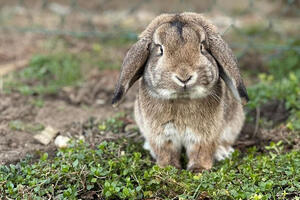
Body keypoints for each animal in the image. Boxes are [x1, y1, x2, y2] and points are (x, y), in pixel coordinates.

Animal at [112, 12, 248, 172]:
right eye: (160, 49)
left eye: (202, 47)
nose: (184, 77)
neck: (182, 98)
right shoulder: (162, 135)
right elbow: (166, 152)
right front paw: (167, 168)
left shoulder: (203, 135)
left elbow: (201, 151)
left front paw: (198, 169)